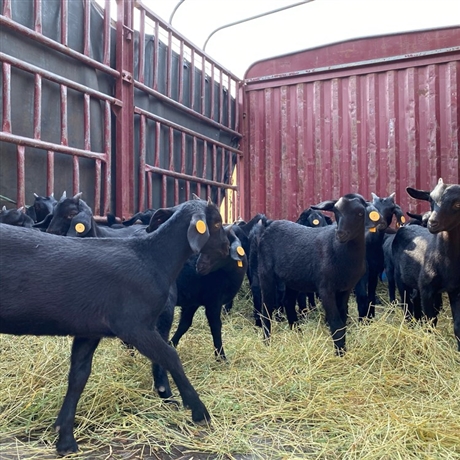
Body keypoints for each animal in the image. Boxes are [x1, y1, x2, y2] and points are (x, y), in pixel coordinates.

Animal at [0, 197, 230, 452]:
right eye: (217, 223)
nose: (227, 248)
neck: (153, 259)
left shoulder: (89, 330)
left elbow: (79, 376)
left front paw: (65, 437)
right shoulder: (135, 325)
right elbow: (171, 356)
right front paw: (199, 411)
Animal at [392, 178, 460, 350]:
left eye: (457, 203)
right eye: (430, 200)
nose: (432, 223)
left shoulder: (456, 290)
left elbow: (457, 325)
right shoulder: (427, 290)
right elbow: (431, 321)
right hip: (399, 277)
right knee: (406, 305)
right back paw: (410, 325)